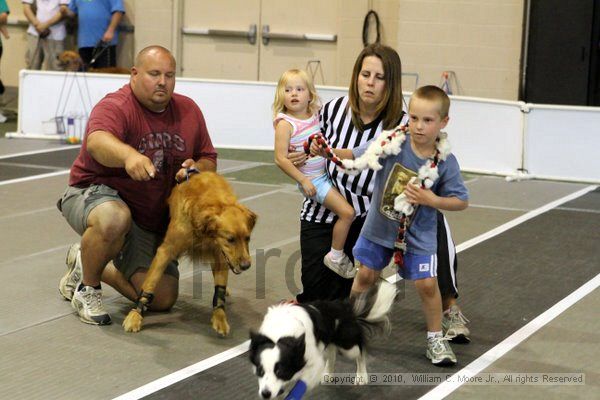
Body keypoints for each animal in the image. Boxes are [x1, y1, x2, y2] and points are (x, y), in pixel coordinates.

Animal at [250, 280, 398, 398]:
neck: (280, 334)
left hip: (347, 346)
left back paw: (361, 376)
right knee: (332, 353)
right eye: (260, 371)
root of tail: (345, 307)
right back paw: (328, 375)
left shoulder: (313, 360)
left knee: (360, 351)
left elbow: (302, 384)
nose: (265, 394)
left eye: (280, 371)